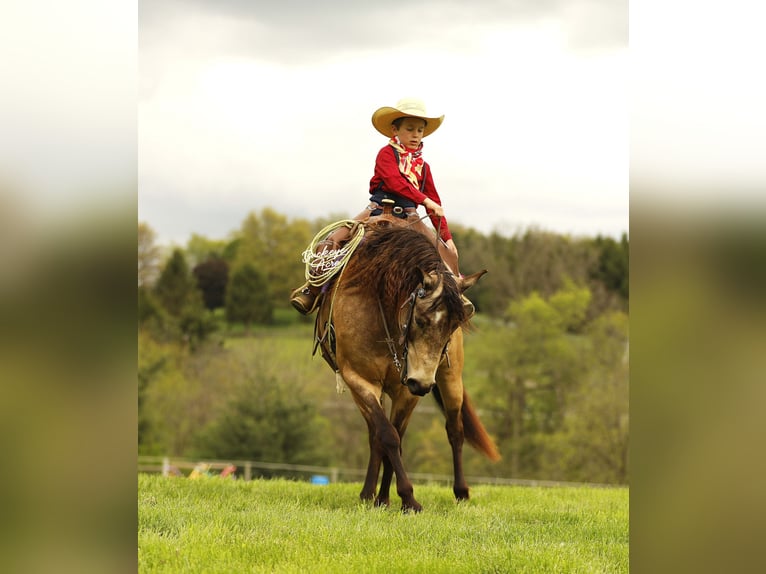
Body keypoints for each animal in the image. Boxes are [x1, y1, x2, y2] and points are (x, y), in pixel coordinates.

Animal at [314, 223, 500, 512]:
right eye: (420, 319)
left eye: (454, 325)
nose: (421, 383)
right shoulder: (359, 380)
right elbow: (387, 436)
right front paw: (399, 497)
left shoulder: (407, 391)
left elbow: (397, 436)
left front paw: (401, 498)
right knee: (377, 435)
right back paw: (370, 494)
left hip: (450, 377)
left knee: (455, 430)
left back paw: (460, 491)